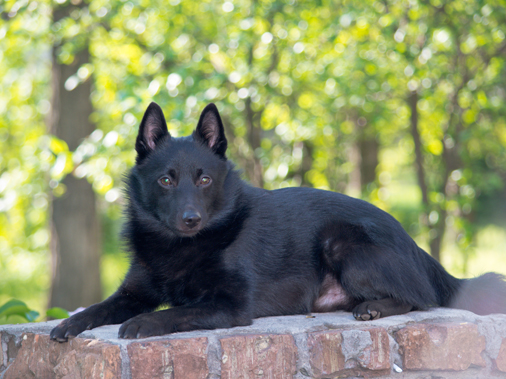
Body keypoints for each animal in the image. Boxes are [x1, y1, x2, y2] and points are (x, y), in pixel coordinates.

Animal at [51, 103, 506, 342]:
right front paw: (69, 324)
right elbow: (101, 306)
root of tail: (418, 248)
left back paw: (374, 308)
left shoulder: (230, 305)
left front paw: (143, 323)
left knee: (419, 296)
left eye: (204, 179)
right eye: (166, 180)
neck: (182, 247)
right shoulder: (134, 291)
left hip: (340, 240)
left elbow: (174, 312)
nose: (190, 219)